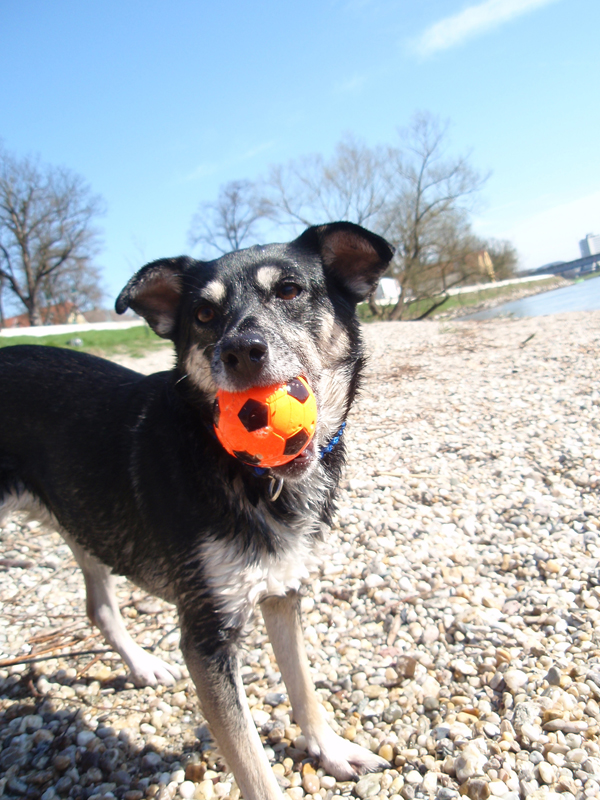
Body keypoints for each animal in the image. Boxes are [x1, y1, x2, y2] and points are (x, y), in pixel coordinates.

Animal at [1, 220, 394, 800]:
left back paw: (142, 665)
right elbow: (251, 763)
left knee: (99, 606)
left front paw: (328, 748)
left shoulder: (284, 589)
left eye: (289, 290)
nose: (241, 351)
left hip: (86, 520)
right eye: (204, 315)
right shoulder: (207, 639)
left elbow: (302, 684)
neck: (251, 476)